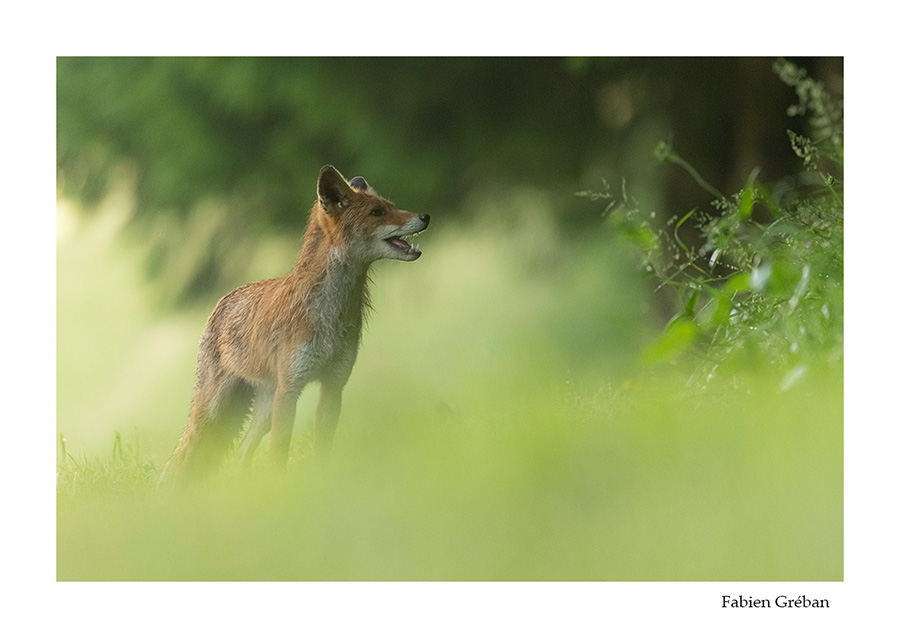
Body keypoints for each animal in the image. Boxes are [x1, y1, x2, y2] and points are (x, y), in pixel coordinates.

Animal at [160, 165, 429, 481]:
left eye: (392, 206)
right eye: (377, 212)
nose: (425, 216)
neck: (329, 317)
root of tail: (223, 300)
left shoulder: (333, 386)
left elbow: (322, 449)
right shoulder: (290, 389)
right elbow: (279, 454)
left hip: (263, 409)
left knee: (240, 455)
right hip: (216, 407)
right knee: (182, 455)